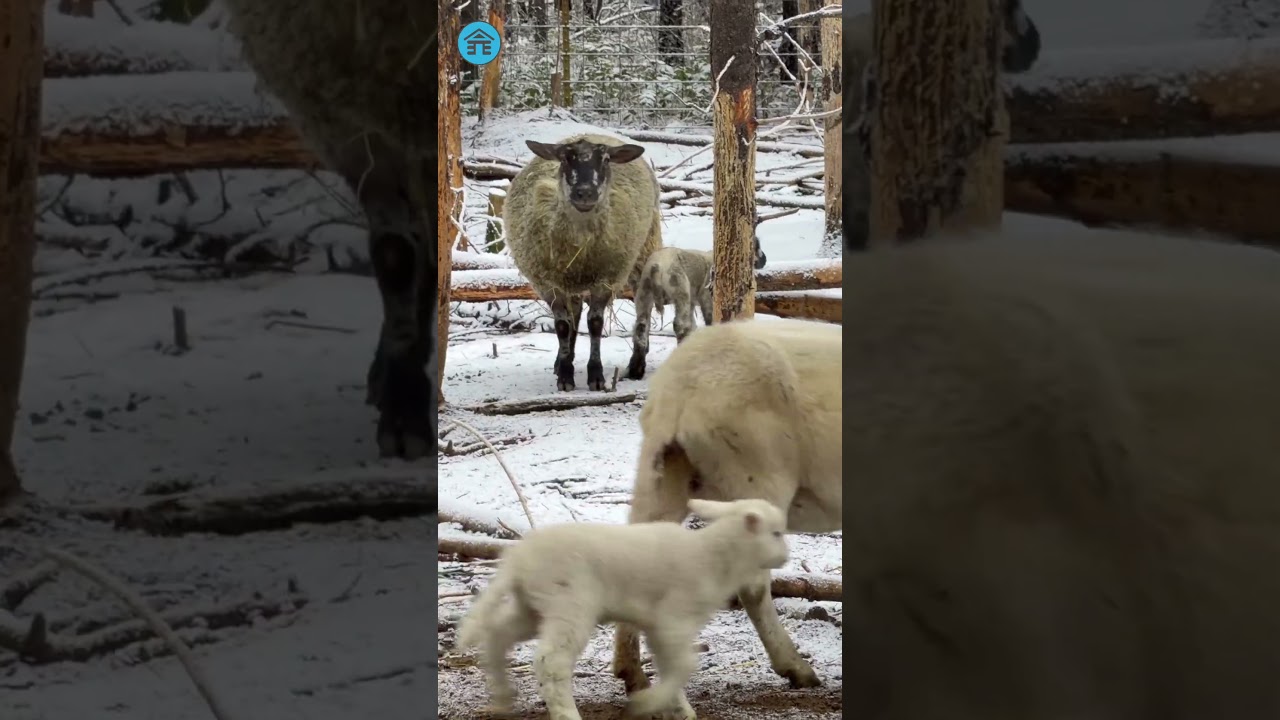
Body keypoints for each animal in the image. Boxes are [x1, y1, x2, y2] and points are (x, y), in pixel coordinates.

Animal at [453, 498, 791, 720]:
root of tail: (518, 560)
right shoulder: (672, 619)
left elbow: (671, 666)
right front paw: (647, 703)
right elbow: (685, 664)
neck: (715, 557)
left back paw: (502, 699)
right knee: (552, 662)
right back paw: (566, 714)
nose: (786, 557)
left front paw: (679, 710)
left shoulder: (659, 627)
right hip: (570, 604)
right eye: (776, 533)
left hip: (534, 607)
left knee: (497, 632)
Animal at [503, 133, 664, 392]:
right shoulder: (548, 283)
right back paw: (563, 359)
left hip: (644, 249)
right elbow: (563, 325)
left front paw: (595, 376)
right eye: (564, 158)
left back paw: (637, 364)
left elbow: (595, 323)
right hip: (569, 279)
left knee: (643, 305)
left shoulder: (606, 279)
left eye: (606, 159)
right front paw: (565, 375)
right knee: (574, 314)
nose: (585, 193)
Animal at [626, 235, 767, 380]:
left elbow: (692, 325)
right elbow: (708, 319)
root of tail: (657, 266)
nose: (764, 260)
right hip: (679, 288)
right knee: (679, 325)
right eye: (756, 247)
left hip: (644, 291)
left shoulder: (693, 300)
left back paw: (636, 370)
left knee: (641, 326)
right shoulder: (706, 296)